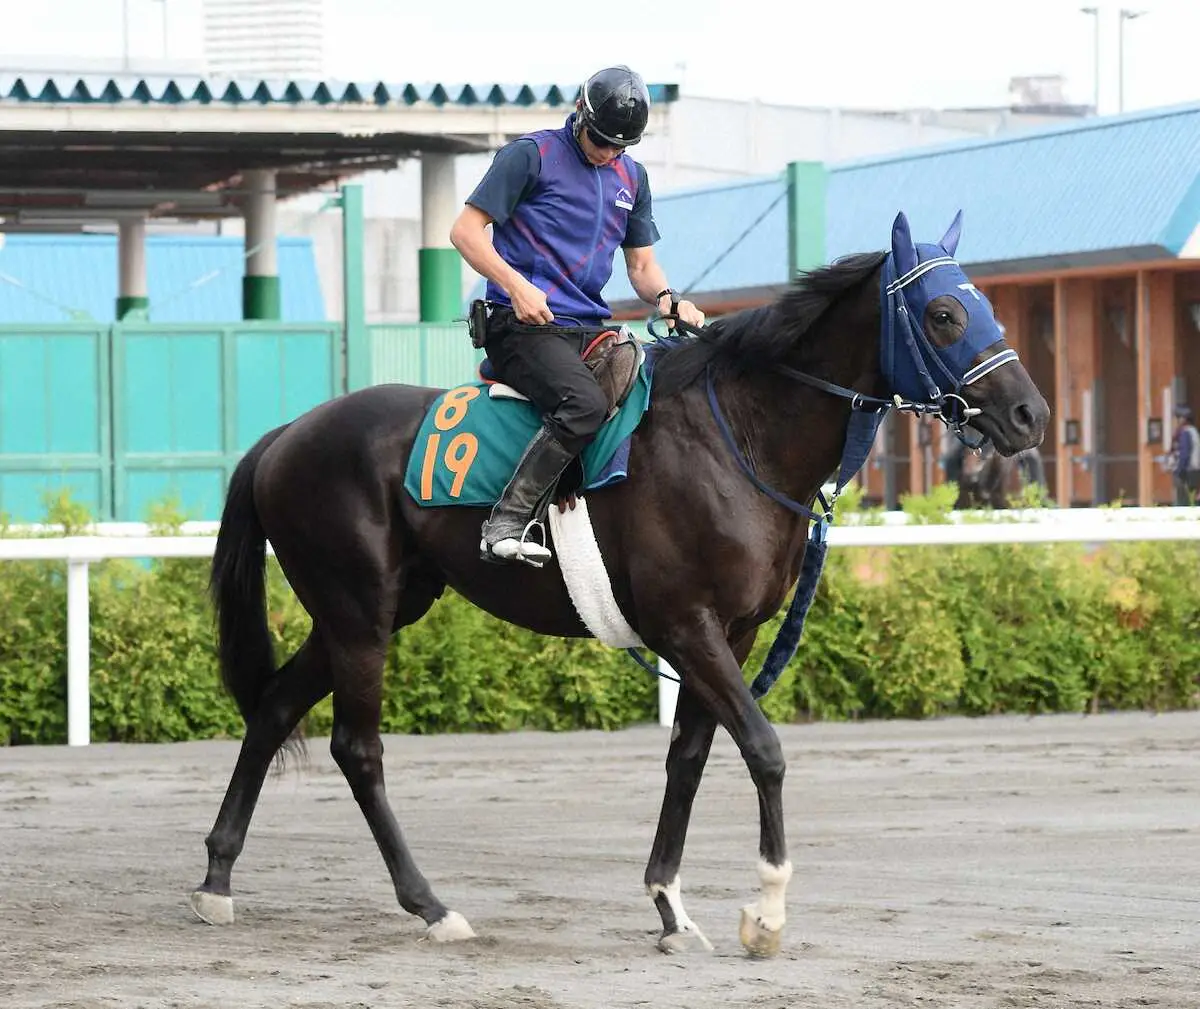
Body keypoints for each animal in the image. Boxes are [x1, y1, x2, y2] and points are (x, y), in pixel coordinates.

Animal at [189, 211, 1051, 955]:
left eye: (985, 305)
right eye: (944, 313)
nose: (1029, 414)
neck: (739, 436)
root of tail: (284, 435)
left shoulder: (732, 631)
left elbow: (691, 756)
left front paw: (671, 906)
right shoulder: (688, 625)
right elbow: (763, 747)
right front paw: (766, 911)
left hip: (371, 609)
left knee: (273, 709)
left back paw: (217, 878)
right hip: (359, 612)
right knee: (357, 747)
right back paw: (431, 905)